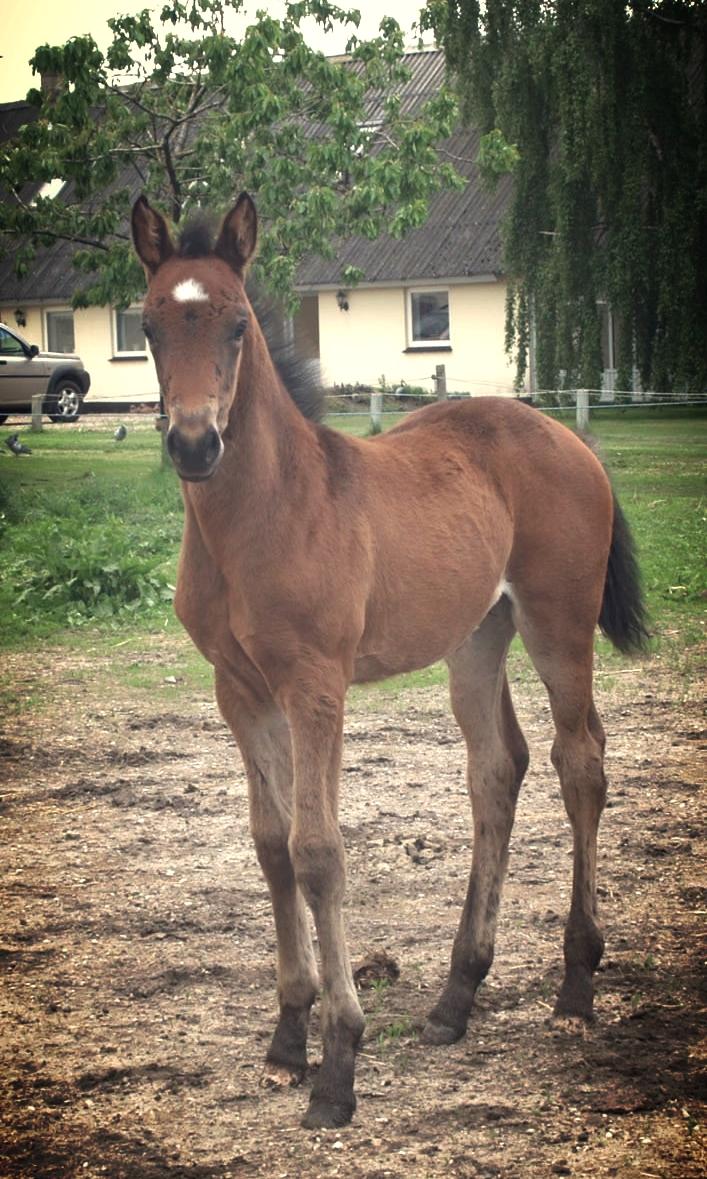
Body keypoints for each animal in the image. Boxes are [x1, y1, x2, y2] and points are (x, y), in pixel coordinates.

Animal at [131, 188, 645, 1127]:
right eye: (147, 324)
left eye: (235, 325)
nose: (192, 444)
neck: (266, 510)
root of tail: (567, 436)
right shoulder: (239, 688)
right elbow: (270, 845)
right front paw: (286, 1039)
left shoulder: (315, 684)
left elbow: (318, 852)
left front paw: (338, 1064)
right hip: (476, 635)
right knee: (497, 767)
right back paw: (454, 997)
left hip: (559, 623)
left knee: (579, 760)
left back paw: (575, 985)